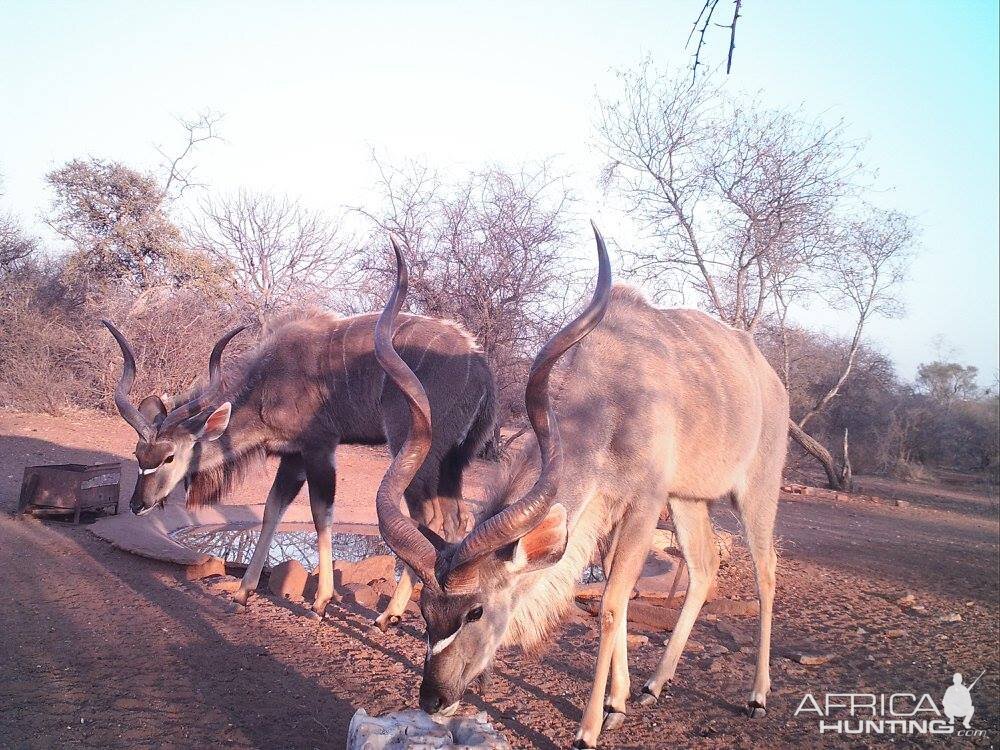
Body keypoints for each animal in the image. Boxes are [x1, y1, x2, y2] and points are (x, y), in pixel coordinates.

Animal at [105, 306, 496, 624]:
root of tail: (481, 365)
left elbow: (321, 514)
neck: (270, 380)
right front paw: (242, 593)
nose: (137, 504)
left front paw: (320, 602)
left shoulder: (319, 447)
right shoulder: (292, 456)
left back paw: (388, 616)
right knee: (458, 519)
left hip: (414, 451)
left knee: (426, 517)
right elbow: (271, 510)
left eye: (169, 457)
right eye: (139, 455)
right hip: (451, 464)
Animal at [374, 226, 788, 748]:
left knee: (766, 571)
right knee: (705, 566)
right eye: (426, 611)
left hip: (756, 491)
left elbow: (611, 602)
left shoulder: (645, 500)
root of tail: (771, 379)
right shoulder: (623, 503)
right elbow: (618, 591)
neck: (611, 394)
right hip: (689, 501)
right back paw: (655, 685)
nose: (433, 698)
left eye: (475, 611)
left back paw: (758, 696)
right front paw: (619, 701)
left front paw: (589, 728)